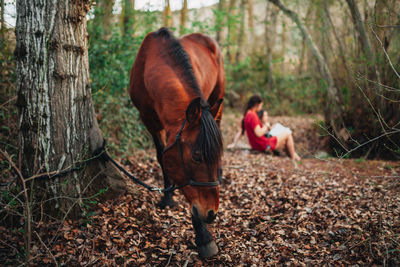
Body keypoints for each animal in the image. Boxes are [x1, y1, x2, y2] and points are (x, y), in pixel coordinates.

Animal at [130, 27, 227, 260]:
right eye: (197, 156)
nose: (211, 213)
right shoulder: (150, 122)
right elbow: (161, 156)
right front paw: (168, 196)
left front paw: (203, 236)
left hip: (217, 100)